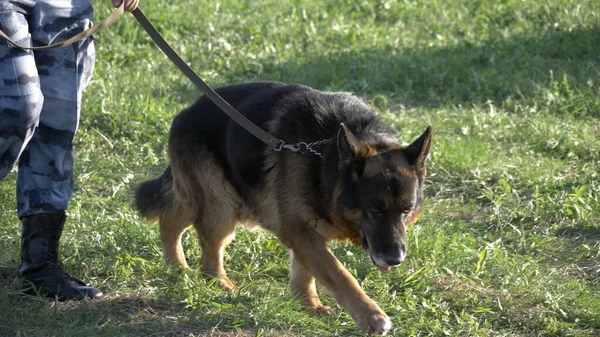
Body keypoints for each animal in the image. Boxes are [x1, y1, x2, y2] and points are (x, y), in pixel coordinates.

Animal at [135, 81, 432, 334]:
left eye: (406, 210)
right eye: (374, 210)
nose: (395, 259)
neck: (324, 159)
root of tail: (186, 112)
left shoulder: (305, 231)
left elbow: (306, 271)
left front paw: (308, 304)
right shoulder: (299, 230)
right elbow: (339, 273)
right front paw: (371, 316)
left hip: (223, 201)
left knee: (170, 218)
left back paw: (176, 267)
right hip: (221, 206)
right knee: (207, 260)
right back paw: (219, 283)